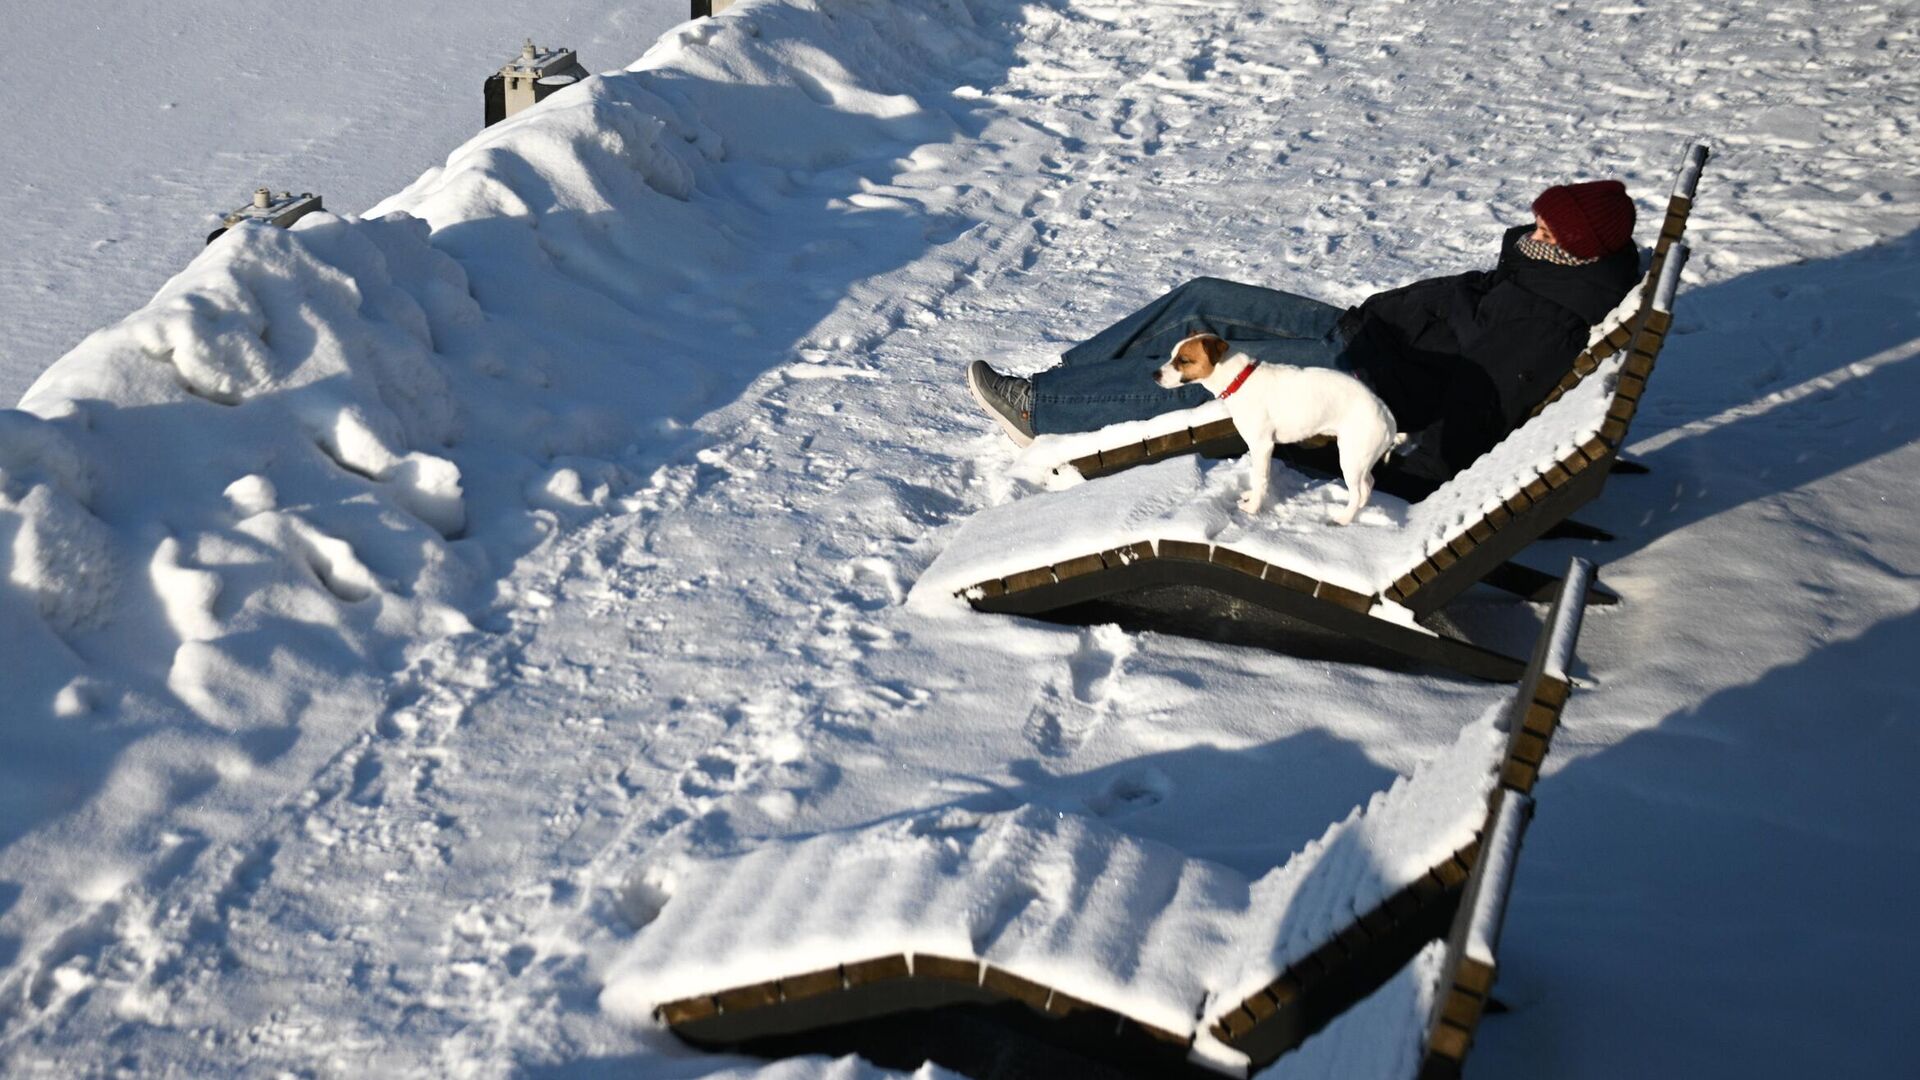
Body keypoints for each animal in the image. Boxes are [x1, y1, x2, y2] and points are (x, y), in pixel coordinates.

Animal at [1152, 332, 1413, 526]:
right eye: (1172, 355)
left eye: (1184, 360)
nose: (1154, 374)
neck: (1240, 379)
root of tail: (1388, 415)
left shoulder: (1262, 445)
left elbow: (1260, 479)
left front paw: (1252, 507)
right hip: (1362, 459)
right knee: (1367, 486)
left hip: (1350, 458)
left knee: (1358, 491)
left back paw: (1343, 519)